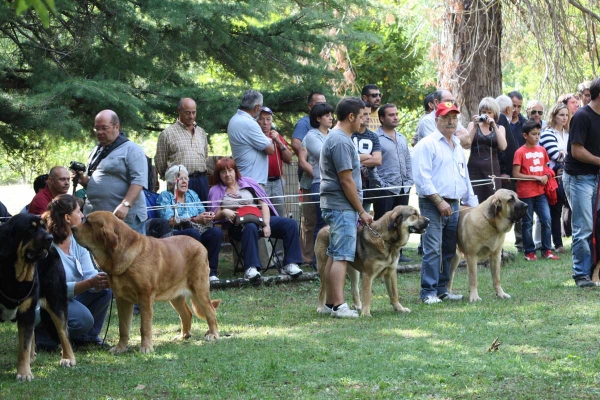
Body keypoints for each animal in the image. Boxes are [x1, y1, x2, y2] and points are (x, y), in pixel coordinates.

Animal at [0, 216, 75, 382]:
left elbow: (24, 345)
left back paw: (68, 358)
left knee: (63, 331)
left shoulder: (27, 310)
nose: (50, 238)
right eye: (31, 229)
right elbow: (26, 339)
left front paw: (24, 373)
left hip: (56, 299)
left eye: (43, 227)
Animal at [72, 211, 218, 354]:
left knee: (210, 311)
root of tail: (200, 245)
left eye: (88, 222)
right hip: (175, 297)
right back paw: (183, 336)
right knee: (186, 314)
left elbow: (145, 326)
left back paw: (213, 334)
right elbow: (123, 327)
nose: (72, 228)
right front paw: (120, 348)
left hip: (199, 289)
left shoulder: (145, 297)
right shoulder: (122, 299)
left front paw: (146, 347)